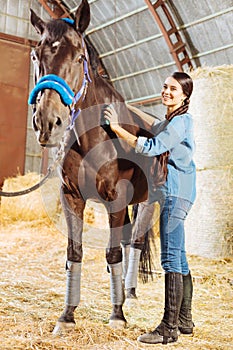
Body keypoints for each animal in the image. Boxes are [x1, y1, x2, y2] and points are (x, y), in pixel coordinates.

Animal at [28, 0, 158, 334]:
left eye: (79, 56)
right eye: (36, 55)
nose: (47, 122)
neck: (96, 135)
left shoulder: (116, 198)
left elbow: (112, 253)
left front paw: (117, 315)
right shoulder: (72, 197)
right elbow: (75, 252)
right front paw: (67, 315)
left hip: (151, 201)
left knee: (135, 242)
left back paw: (129, 295)